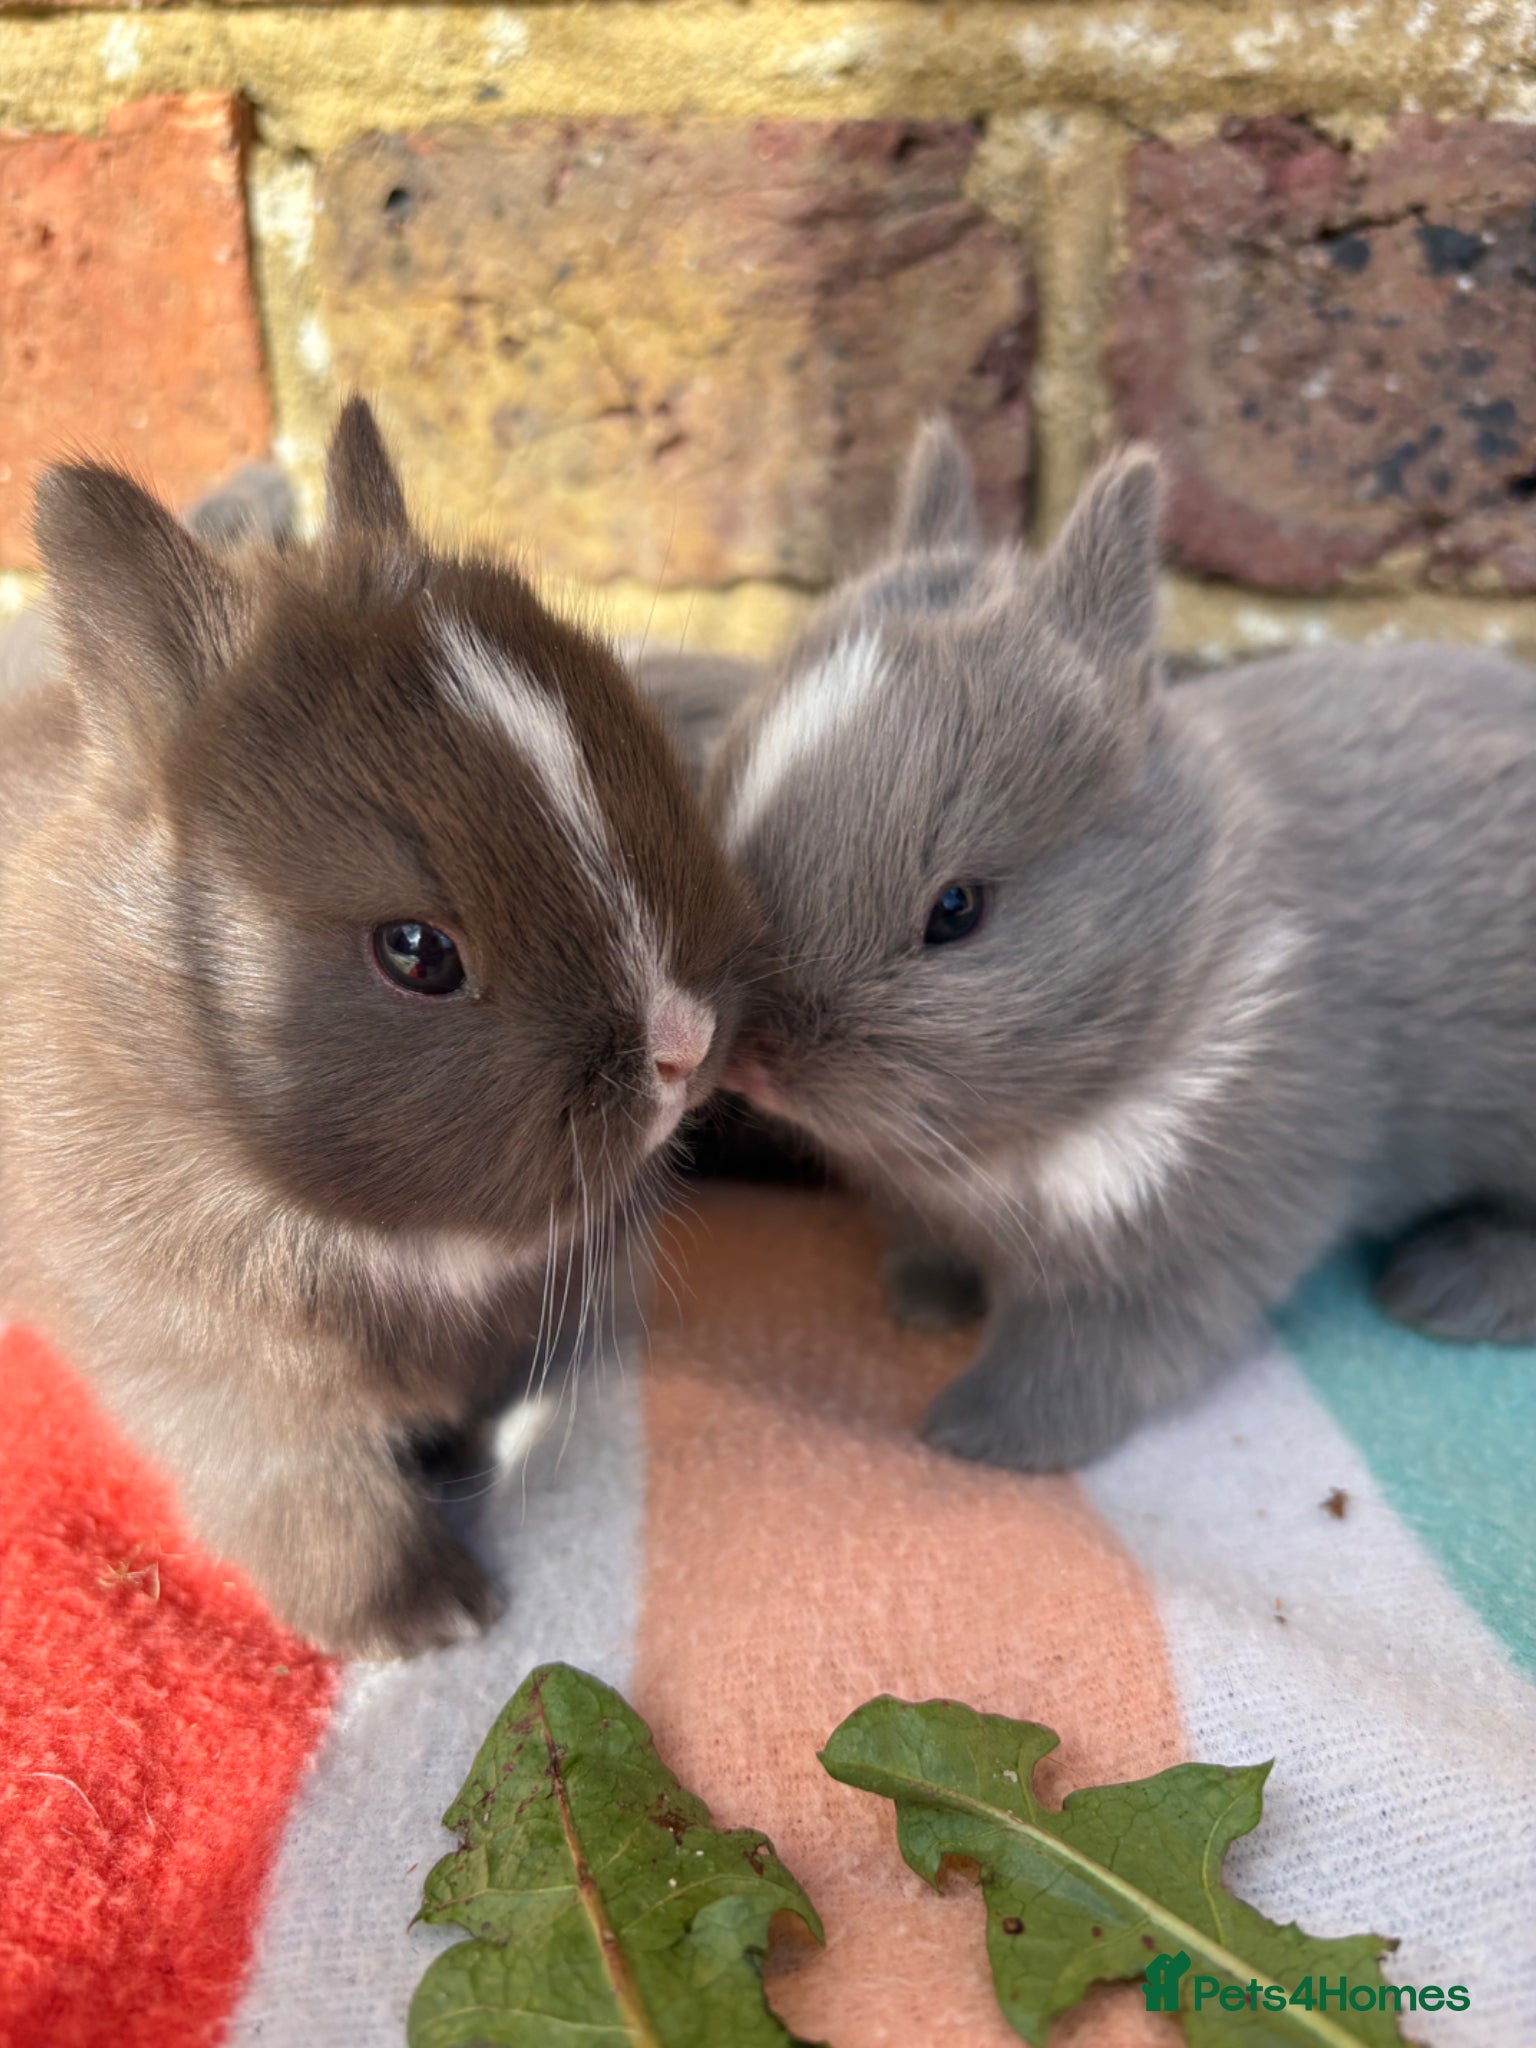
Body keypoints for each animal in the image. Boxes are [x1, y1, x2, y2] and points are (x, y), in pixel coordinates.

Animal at [705, 418, 1536, 1470]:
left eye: (957, 910)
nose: (752, 1063)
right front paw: (922, 1301)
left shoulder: (1176, 1247)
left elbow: (1090, 1355)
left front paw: (979, 1434)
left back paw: (1442, 1289)